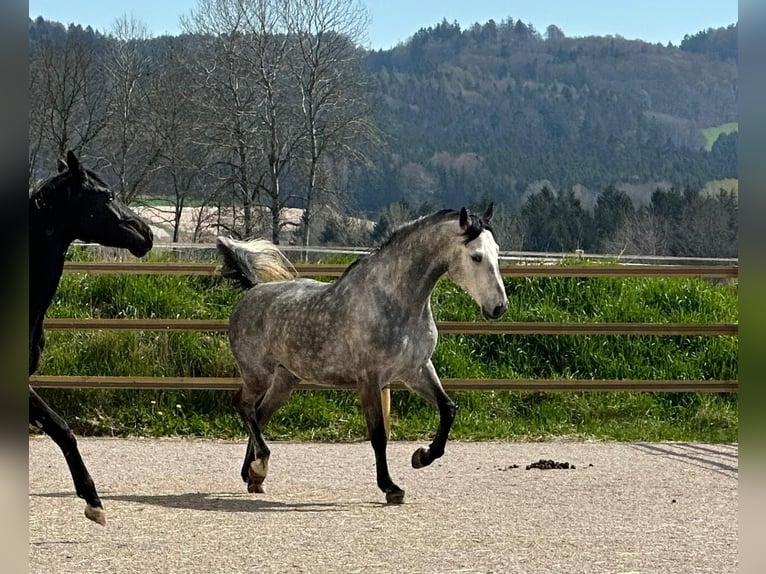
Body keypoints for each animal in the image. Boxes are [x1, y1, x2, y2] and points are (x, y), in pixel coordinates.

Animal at [29, 150, 154, 525]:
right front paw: (93, 500)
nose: (146, 233)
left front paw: (93, 501)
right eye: (108, 195)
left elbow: (62, 430)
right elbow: (61, 429)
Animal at [216, 205, 507, 504]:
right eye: (476, 256)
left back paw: (253, 476)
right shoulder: (370, 379)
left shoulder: (416, 371)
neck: (396, 302)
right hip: (257, 375)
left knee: (260, 414)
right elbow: (378, 435)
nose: (498, 307)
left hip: (285, 380)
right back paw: (260, 464)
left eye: (497, 251)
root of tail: (253, 290)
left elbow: (448, 409)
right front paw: (391, 487)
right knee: (244, 406)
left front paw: (421, 457)